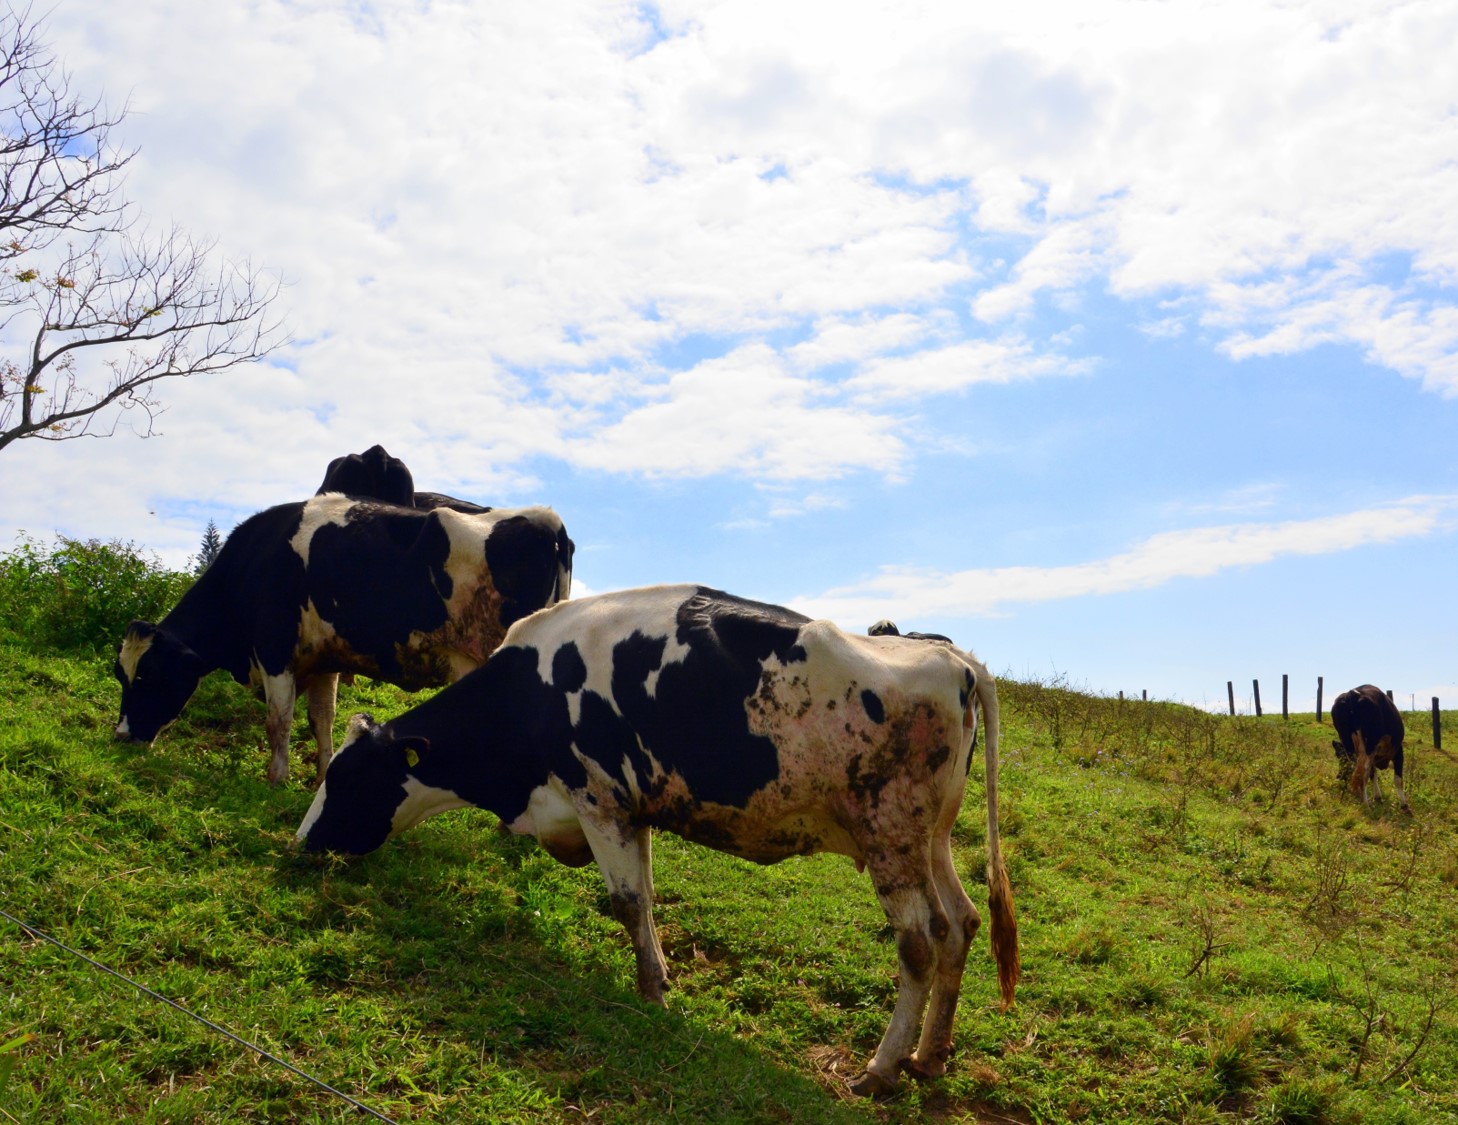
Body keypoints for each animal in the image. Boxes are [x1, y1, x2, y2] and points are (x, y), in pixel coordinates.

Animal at [113, 495, 571, 786]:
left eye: (148, 676)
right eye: (121, 675)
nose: (120, 736)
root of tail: (545, 518)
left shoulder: (274, 648)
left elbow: (278, 721)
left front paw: (275, 780)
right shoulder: (323, 659)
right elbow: (321, 720)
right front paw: (320, 777)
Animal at [298, 585, 1014, 1095]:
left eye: (347, 777)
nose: (300, 844)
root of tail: (953, 657)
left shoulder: (597, 799)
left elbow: (627, 902)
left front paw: (649, 993)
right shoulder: (632, 808)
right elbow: (642, 896)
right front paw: (660, 978)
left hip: (890, 835)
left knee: (919, 943)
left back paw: (882, 1068)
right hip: (932, 839)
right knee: (961, 924)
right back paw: (929, 1056)